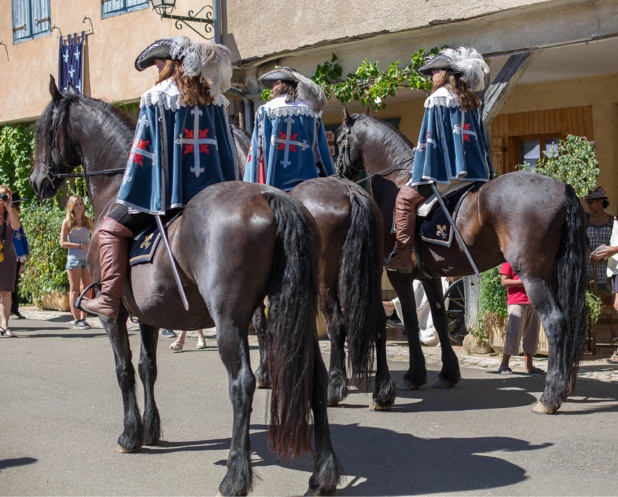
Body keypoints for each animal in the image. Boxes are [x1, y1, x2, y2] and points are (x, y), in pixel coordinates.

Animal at [30, 75, 342, 494]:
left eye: (40, 130)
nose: (37, 182)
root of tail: (269, 196)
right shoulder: (147, 316)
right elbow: (147, 367)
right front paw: (151, 428)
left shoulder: (113, 316)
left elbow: (124, 369)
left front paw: (130, 435)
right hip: (299, 315)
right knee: (314, 378)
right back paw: (322, 475)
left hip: (230, 322)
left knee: (242, 384)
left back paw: (235, 475)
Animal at [231, 126, 394, 408]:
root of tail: (351, 193)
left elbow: (263, 325)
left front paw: (265, 374)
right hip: (369, 276)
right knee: (379, 321)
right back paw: (382, 391)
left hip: (326, 279)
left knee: (337, 324)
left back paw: (335, 386)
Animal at [334, 109, 584, 414]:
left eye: (338, 140)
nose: (337, 172)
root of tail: (562, 188)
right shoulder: (429, 276)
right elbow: (440, 320)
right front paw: (447, 374)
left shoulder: (399, 275)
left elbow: (412, 322)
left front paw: (413, 376)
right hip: (553, 275)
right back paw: (564, 387)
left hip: (533, 276)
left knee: (555, 321)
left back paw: (549, 397)